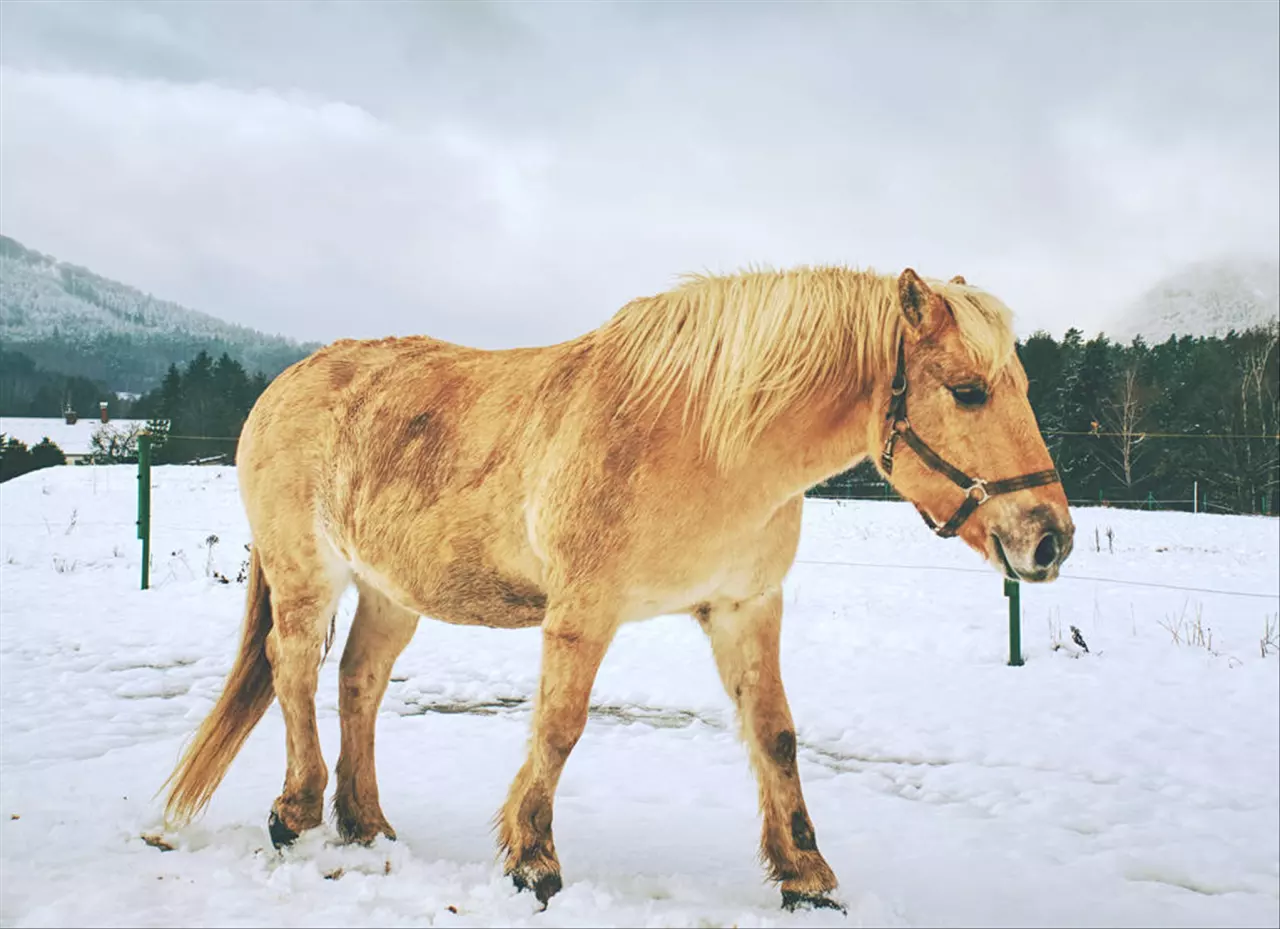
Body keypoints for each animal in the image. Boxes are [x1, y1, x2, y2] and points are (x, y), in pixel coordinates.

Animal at [160, 266, 1070, 911]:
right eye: (967, 391)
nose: (1051, 536)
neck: (706, 438)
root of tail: (285, 383)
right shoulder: (583, 612)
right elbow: (559, 729)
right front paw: (533, 860)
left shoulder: (745, 609)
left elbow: (775, 734)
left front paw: (807, 874)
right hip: (307, 574)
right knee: (293, 668)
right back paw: (296, 811)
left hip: (392, 590)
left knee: (359, 681)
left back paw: (367, 826)